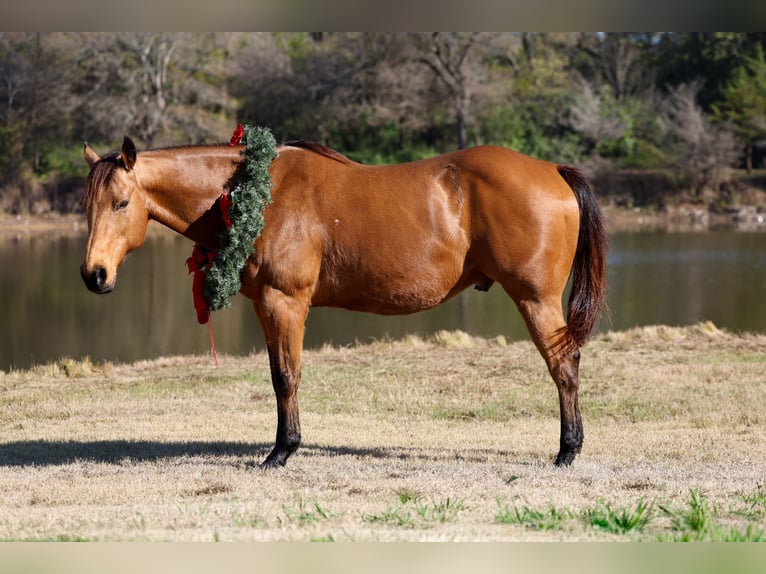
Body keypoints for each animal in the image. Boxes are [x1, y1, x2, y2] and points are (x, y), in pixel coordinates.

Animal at [81, 135, 607, 469]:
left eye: (121, 203)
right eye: (87, 206)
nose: (94, 275)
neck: (257, 192)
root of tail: (553, 171)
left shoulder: (284, 302)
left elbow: (286, 377)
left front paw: (282, 451)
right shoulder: (265, 306)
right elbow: (278, 375)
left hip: (536, 299)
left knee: (564, 366)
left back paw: (567, 450)